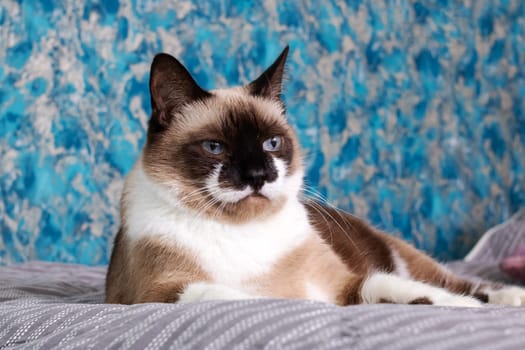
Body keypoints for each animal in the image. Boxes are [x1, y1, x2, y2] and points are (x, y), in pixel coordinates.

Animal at [105, 45, 524, 306]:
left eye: (272, 143)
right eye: (215, 148)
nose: (258, 174)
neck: (242, 232)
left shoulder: (346, 285)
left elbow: (405, 289)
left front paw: (467, 308)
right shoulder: (160, 293)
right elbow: (244, 299)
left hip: (407, 259)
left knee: (454, 282)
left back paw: (509, 297)